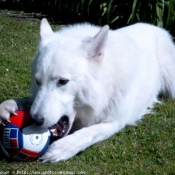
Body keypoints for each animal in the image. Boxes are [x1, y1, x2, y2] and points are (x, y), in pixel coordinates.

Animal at [0, 19, 175, 163]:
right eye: (38, 82)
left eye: (62, 82)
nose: (35, 120)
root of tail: (156, 27)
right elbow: (27, 100)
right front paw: (9, 106)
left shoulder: (114, 122)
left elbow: (89, 132)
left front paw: (64, 148)